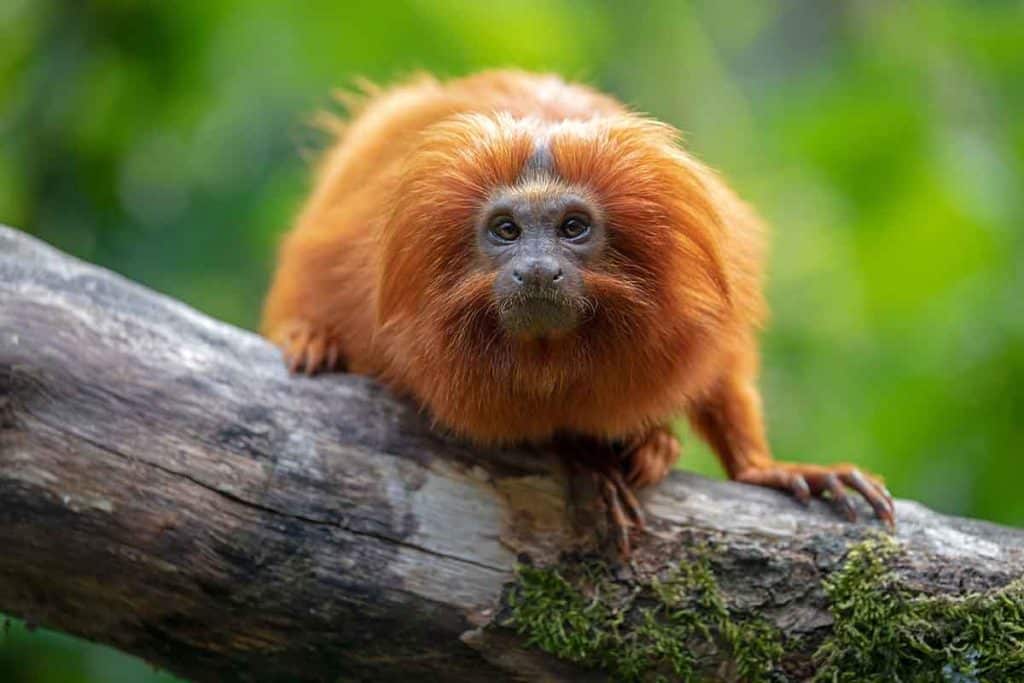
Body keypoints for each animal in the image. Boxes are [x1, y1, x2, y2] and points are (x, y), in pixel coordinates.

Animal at [262, 70, 893, 555]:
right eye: (507, 231)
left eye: (572, 228)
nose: (538, 270)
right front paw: (588, 458)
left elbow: (724, 373)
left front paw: (763, 466)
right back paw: (311, 336)